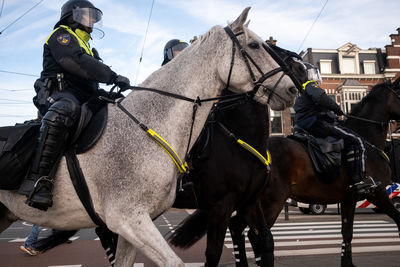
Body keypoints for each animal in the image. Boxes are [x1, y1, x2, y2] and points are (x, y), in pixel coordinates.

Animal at [228, 77, 400, 267]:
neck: (367, 138)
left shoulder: (349, 198)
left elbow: (347, 232)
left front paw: (347, 263)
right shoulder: (377, 192)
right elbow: (398, 219)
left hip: (251, 203)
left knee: (237, 227)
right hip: (272, 201)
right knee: (256, 234)